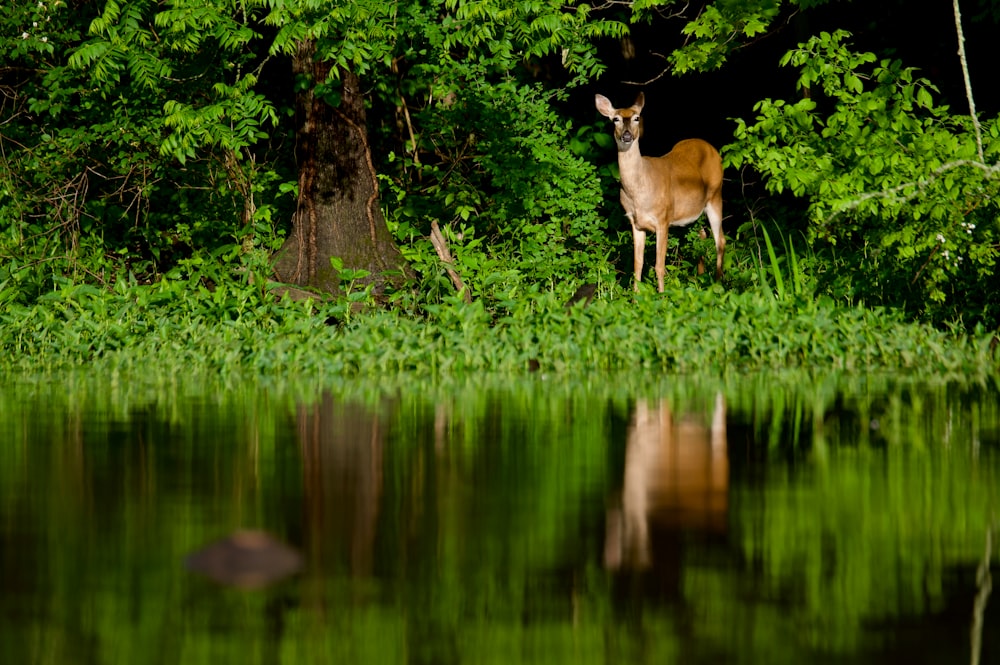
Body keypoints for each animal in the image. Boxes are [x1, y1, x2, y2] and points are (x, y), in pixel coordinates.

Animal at [592, 92, 728, 292]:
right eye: (615, 119)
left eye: (636, 117)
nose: (627, 135)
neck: (639, 191)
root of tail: (713, 150)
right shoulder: (635, 222)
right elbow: (638, 263)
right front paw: (636, 295)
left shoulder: (663, 219)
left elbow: (659, 265)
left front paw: (661, 295)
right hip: (696, 208)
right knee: (702, 234)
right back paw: (700, 277)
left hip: (716, 195)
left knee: (720, 241)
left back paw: (718, 284)